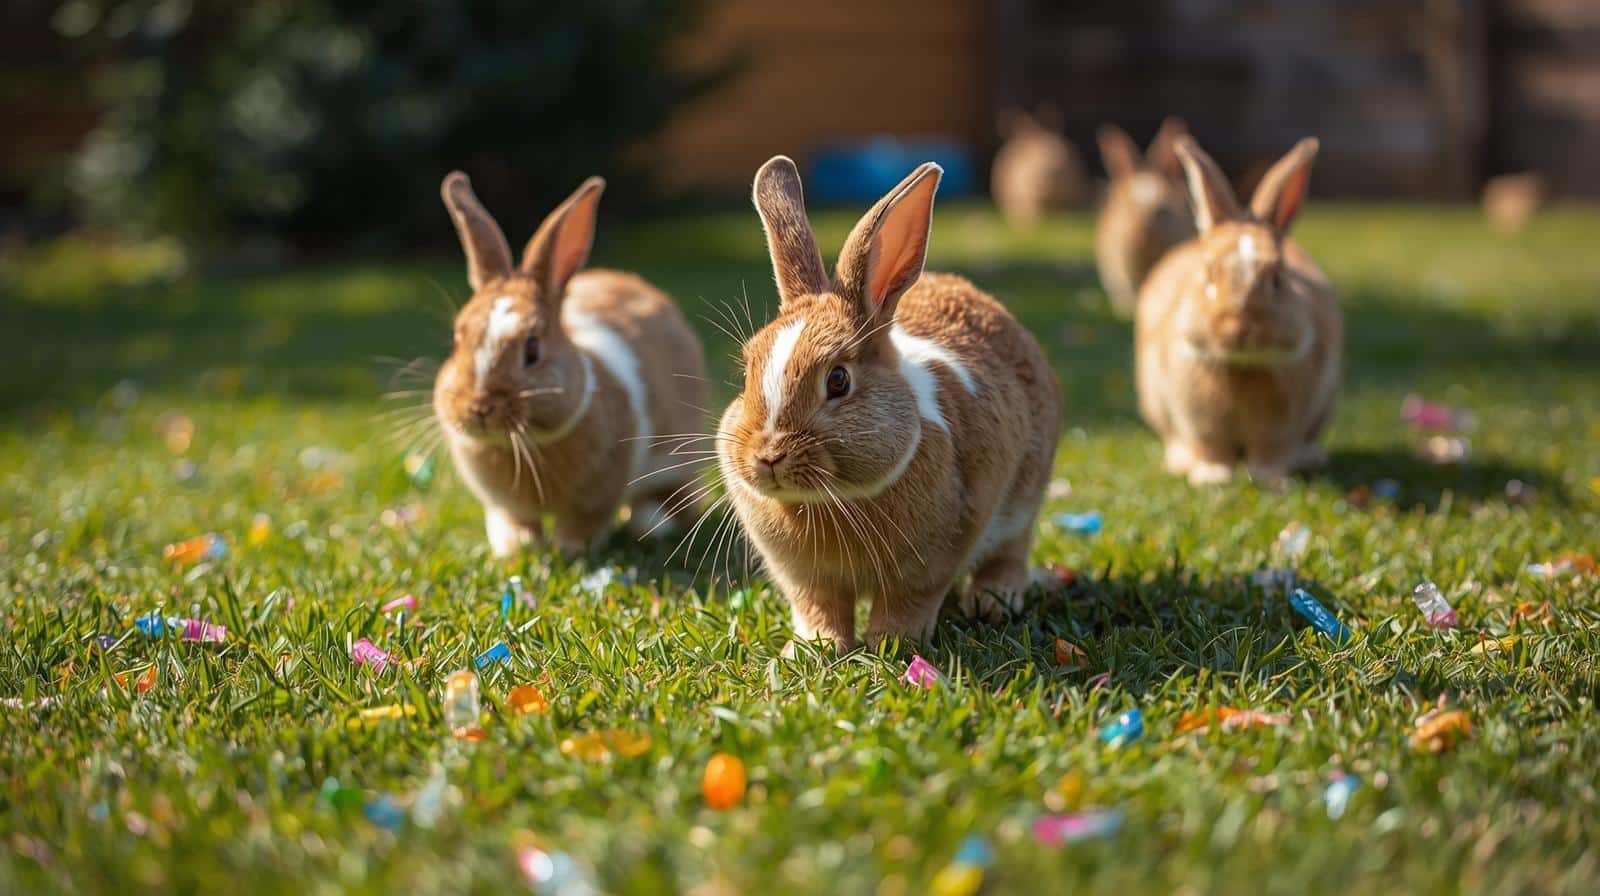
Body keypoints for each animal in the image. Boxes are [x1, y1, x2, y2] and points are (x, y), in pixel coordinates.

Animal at [432, 171, 708, 556]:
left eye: (532, 350)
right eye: (458, 340)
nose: (478, 408)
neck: (527, 441)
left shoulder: (597, 498)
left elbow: (583, 525)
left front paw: (568, 550)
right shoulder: (506, 505)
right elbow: (514, 521)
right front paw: (516, 548)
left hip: (677, 458)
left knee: (670, 501)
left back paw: (650, 525)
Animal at [717, 156, 1061, 651]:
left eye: (838, 380)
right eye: (747, 372)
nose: (767, 456)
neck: (832, 500)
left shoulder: (931, 562)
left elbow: (908, 603)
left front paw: (890, 643)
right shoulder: (806, 579)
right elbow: (819, 608)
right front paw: (815, 648)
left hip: (1024, 498)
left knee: (1009, 554)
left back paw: (993, 602)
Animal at [1135, 136, 1342, 487]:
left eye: (1277, 277)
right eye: (1209, 273)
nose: (1239, 328)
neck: (1240, 366)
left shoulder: (1279, 426)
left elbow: (1270, 451)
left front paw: (1271, 481)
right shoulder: (1200, 420)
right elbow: (1211, 447)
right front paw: (1212, 477)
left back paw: (1309, 457)